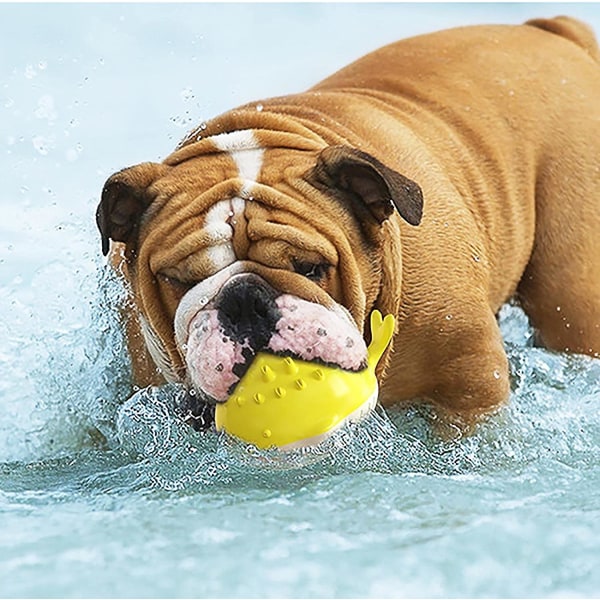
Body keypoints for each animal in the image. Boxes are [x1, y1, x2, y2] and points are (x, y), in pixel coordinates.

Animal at [96, 16, 600, 428]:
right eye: (179, 278)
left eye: (310, 268)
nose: (245, 300)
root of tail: (550, 30)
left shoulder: (471, 378)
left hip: (574, 296)